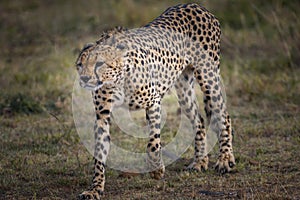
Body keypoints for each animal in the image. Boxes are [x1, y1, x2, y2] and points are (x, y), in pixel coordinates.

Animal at [74, 3, 234, 198]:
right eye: (80, 65)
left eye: (99, 64)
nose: (84, 79)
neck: (117, 79)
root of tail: (195, 5)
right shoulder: (102, 115)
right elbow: (99, 154)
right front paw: (95, 188)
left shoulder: (153, 102)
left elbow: (153, 141)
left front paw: (156, 169)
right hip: (183, 88)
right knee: (199, 120)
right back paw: (199, 162)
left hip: (208, 76)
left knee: (223, 115)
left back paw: (225, 160)